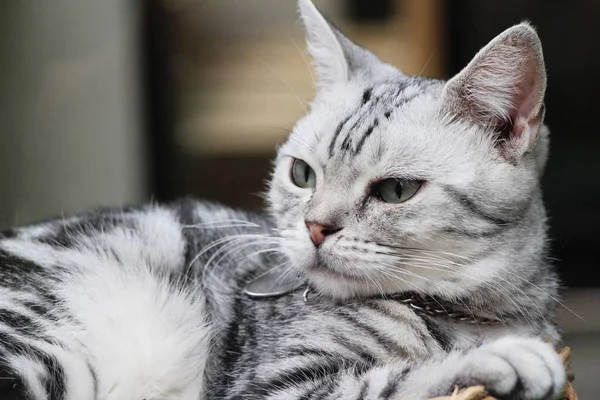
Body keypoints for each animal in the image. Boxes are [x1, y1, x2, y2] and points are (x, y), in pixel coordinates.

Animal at [0, 0, 564, 400]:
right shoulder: (277, 385)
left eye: (396, 191)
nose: (315, 227)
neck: (465, 316)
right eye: (301, 174)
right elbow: (397, 379)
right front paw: (502, 359)